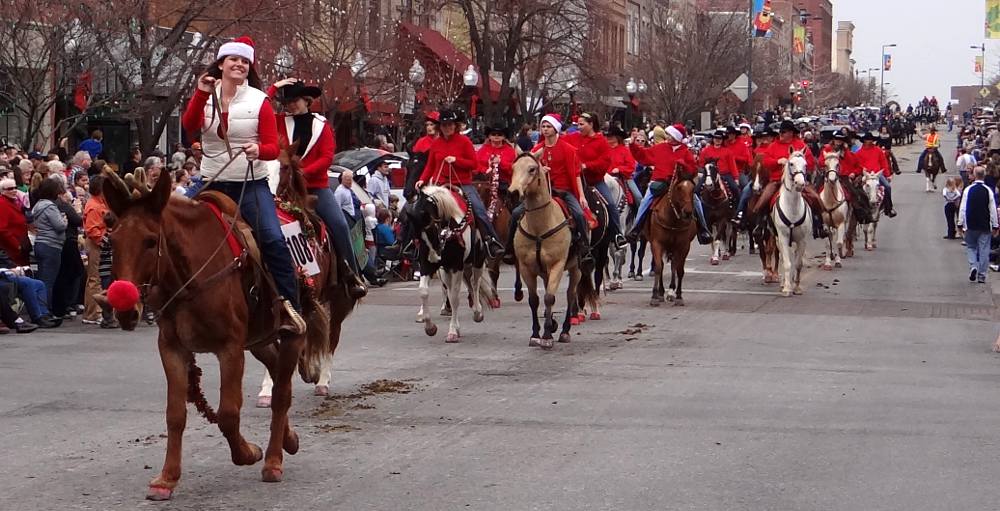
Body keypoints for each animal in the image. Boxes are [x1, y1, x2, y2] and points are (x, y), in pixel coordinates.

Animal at [101, 153, 358, 504]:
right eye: (113, 239)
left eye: (151, 241)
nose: (125, 308)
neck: (193, 272)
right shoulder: (172, 348)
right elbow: (175, 415)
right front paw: (166, 479)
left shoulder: (230, 350)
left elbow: (227, 413)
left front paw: (248, 452)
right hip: (260, 339)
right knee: (277, 375)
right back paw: (289, 438)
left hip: (291, 331)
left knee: (282, 393)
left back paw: (273, 460)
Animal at [412, 186, 490, 342]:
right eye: (418, 236)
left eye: (431, 226)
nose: (435, 257)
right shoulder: (427, 266)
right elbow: (423, 291)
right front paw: (430, 327)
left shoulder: (456, 266)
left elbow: (454, 298)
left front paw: (453, 331)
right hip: (445, 271)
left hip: (477, 262)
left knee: (475, 283)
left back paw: (478, 312)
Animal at [512, 152, 596, 348]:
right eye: (513, 168)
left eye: (532, 169)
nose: (512, 192)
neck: (540, 226)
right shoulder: (526, 268)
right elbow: (534, 300)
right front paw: (536, 334)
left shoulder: (557, 265)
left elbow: (550, 297)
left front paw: (547, 335)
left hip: (575, 269)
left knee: (570, 295)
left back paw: (564, 330)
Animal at [644, 168, 700, 306]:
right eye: (679, 188)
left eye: (693, 189)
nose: (688, 212)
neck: (672, 219)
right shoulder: (656, 243)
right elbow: (659, 267)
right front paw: (655, 295)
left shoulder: (684, 246)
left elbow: (680, 270)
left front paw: (678, 296)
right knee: (664, 265)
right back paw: (661, 292)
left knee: (674, 265)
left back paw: (671, 292)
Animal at [772, 151, 812, 296]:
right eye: (791, 163)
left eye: (805, 164)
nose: (800, 183)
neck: (793, 209)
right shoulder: (783, 238)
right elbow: (787, 263)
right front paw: (787, 288)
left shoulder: (802, 240)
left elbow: (798, 264)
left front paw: (797, 287)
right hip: (778, 240)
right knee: (784, 259)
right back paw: (784, 282)